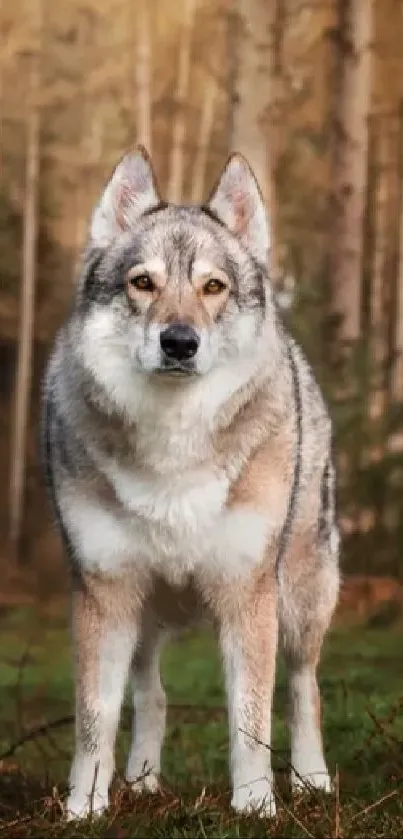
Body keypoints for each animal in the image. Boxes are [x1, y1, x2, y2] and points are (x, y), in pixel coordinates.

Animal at [43, 146, 340, 820]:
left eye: (213, 287)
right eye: (143, 283)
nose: (179, 341)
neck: (172, 442)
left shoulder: (247, 595)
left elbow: (250, 717)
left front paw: (255, 806)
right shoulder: (103, 594)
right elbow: (94, 718)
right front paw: (83, 808)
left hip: (300, 599)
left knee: (303, 689)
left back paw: (312, 780)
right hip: (146, 614)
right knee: (152, 694)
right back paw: (142, 781)